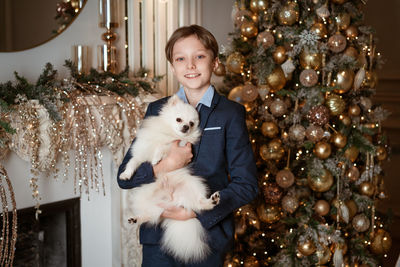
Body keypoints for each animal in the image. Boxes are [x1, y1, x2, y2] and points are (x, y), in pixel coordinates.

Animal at [119, 94, 219, 264]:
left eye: (191, 123)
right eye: (179, 120)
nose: (185, 127)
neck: (169, 133)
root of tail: (172, 201)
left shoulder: (177, 146)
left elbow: (163, 147)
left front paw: (156, 158)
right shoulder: (140, 154)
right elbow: (132, 163)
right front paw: (126, 174)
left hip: (193, 185)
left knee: (200, 204)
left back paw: (212, 201)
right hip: (148, 202)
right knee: (150, 215)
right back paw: (135, 219)